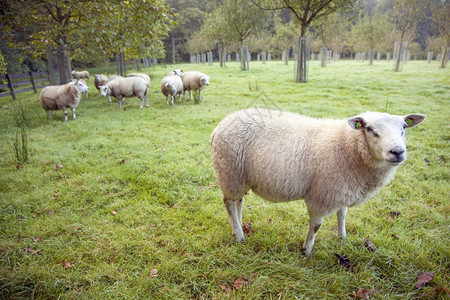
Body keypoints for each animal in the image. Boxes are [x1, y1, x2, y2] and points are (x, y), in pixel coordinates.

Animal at [211, 109, 426, 256]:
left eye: (404, 128)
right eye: (370, 129)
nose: (397, 152)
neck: (347, 147)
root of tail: (221, 124)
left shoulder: (341, 188)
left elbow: (342, 214)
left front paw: (342, 237)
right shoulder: (321, 195)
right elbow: (316, 225)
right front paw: (307, 250)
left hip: (239, 177)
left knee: (238, 202)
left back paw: (237, 227)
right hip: (229, 172)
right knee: (229, 203)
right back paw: (239, 236)